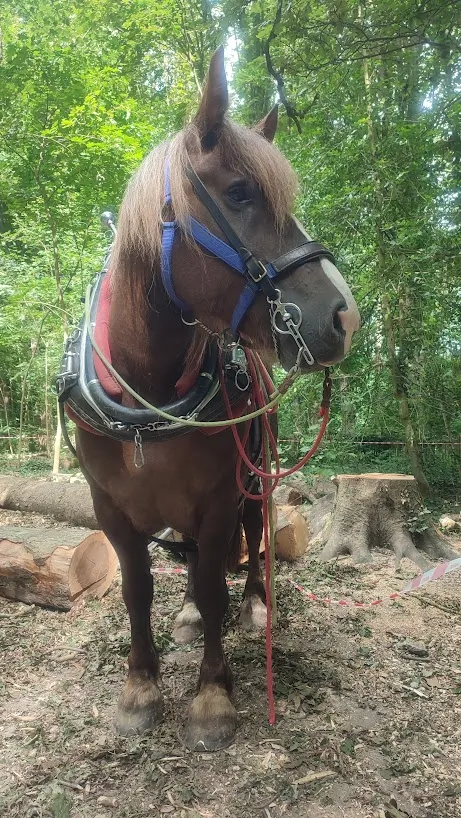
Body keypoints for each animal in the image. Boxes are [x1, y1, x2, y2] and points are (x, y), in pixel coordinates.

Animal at [70, 47, 360, 752]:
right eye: (239, 193)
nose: (346, 317)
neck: (145, 392)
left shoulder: (222, 495)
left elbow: (210, 581)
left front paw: (211, 697)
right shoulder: (109, 507)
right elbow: (139, 586)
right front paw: (141, 685)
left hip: (255, 476)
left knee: (256, 536)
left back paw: (254, 602)